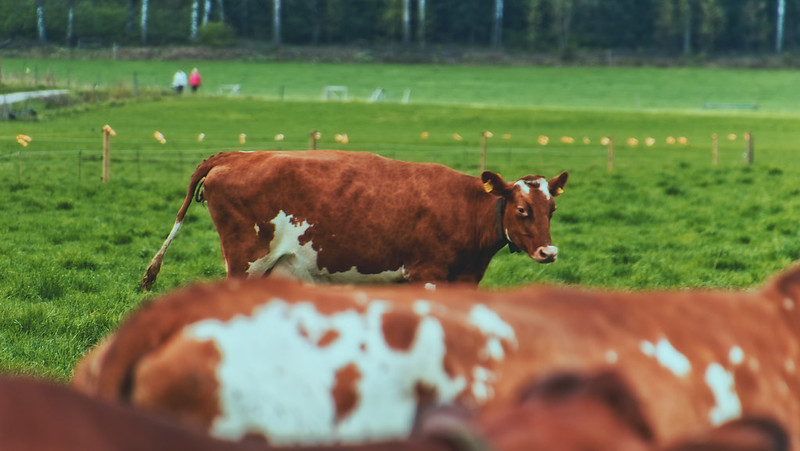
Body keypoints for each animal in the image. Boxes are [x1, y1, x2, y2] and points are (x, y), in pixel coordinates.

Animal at [142, 152, 568, 292]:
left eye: (552, 210)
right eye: (522, 210)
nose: (549, 251)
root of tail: (237, 155)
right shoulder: (427, 275)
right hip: (246, 264)